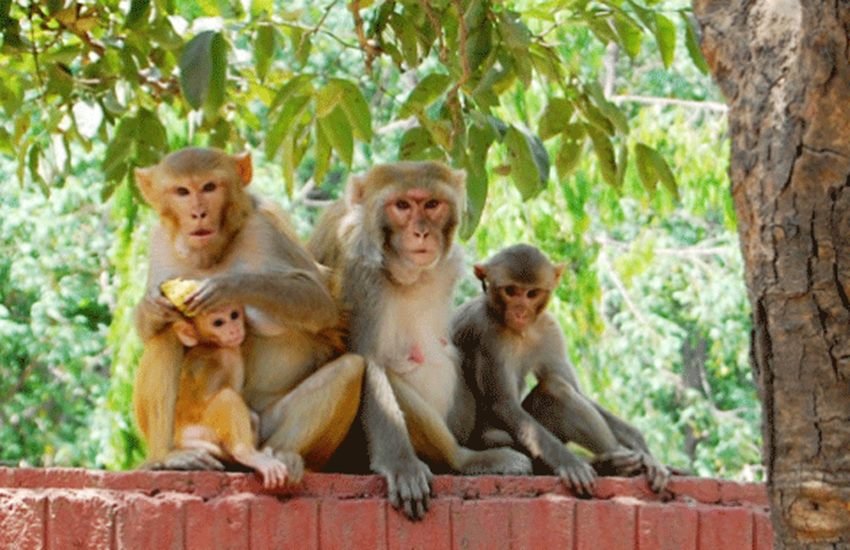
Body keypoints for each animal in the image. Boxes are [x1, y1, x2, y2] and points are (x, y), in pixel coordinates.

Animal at [171, 303, 290, 488]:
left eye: (234, 315)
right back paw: (245, 453)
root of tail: (180, 434)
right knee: (227, 397)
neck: (212, 344)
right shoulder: (225, 356)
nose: (233, 329)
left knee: (252, 417)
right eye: (218, 323)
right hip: (203, 433)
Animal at [308, 162, 531, 521]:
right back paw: (463, 460)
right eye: (401, 206)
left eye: (431, 204)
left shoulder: (449, 264)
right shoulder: (357, 269)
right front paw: (401, 465)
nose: (421, 232)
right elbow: (368, 362)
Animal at [451, 243, 670, 495]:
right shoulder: (487, 332)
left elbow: (576, 390)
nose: (520, 310)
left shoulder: (549, 329)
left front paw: (645, 452)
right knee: (547, 395)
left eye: (532, 293)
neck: (519, 331)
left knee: (557, 390)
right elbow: (504, 404)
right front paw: (569, 462)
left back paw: (619, 463)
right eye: (510, 290)